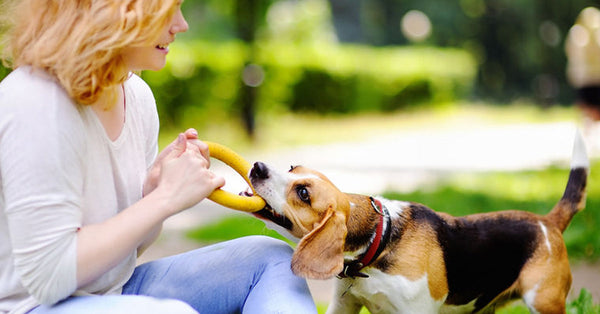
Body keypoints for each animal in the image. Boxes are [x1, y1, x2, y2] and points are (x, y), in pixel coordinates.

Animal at [246, 133, 588, 314]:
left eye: (303, 193)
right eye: (293, 167)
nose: (257, 166)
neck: (379, 240)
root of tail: (546, 221)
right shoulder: (344, 305)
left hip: (543, 301)